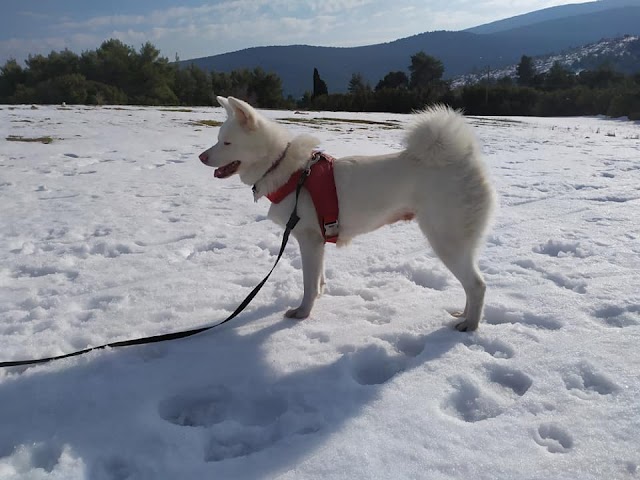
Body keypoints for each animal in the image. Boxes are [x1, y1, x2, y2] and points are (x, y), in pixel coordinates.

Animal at [200, 96, 496, 332]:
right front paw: (317, 297)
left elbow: (308, 284)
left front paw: (303, 312)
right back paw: (463, 315)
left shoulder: (309, 240)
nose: (202, 157)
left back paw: (471, 324)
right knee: (471, 284)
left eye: (226, 143)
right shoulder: (318, 241)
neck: (288, 171)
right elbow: (318, 280)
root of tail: (463, 159)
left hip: (446, 240)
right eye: (218, 140)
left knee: (477, 285)